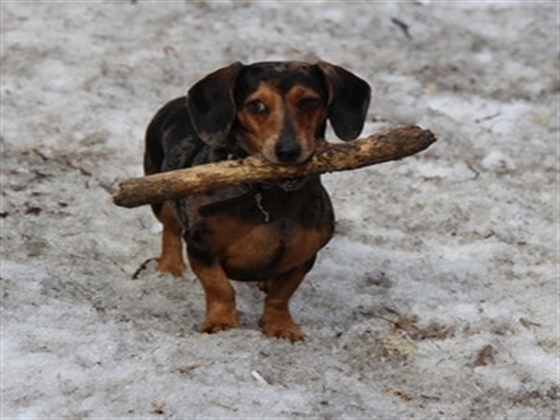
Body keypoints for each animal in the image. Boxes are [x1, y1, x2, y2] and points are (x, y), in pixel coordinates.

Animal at [144, 60, 372, 342]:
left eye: (309, 102)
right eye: (256, 105)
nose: (288, 151)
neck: (275, 196)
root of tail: (177, 102)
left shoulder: (303, 258)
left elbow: (280, 295)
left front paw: (280, 327)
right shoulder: (201, 248)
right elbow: (220, 288)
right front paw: (222, 324)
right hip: (161, 195)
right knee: (170, 231)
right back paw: (169, 269)